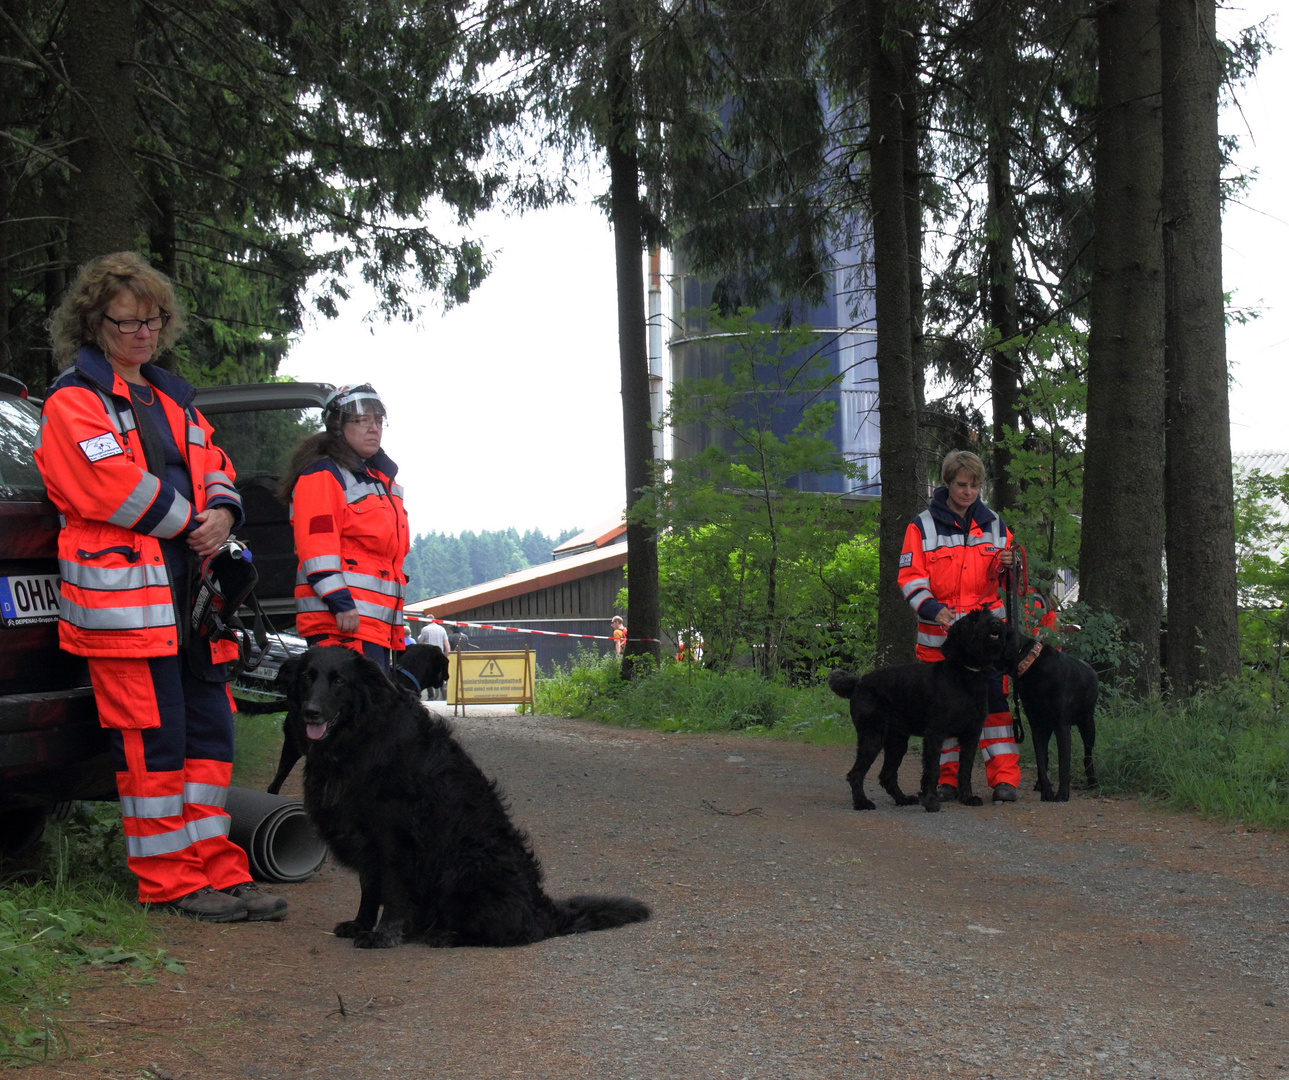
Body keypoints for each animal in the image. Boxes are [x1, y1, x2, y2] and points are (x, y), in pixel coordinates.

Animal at [278, 646, 649, 953]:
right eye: (307, 677)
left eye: (339, 681)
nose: (311, 712)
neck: (358, 735)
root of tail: (540, 908)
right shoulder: (364, 838)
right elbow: (369, 890)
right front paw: (360, 925)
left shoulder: (393, 837)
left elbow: (392, 892)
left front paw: (383, 935)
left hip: (463, 866)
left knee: (511, 933)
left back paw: (446, 934)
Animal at [824, 608, 1005, 814]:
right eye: (974, 620)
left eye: (989, 613)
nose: (996, 623)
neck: (966, 675)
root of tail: (858, 682)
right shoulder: (935, 734)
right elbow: (933, 769)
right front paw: (931, 801)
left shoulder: (971, 735)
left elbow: (965, 769)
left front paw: (967, 797)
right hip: (872, 736)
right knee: (855, 773)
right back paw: (862, 802)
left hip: (897, 741)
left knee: (887, 774)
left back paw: (902, 799)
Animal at [1005, 626, 1098, 804]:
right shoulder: (1037, 726)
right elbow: (1041, 762)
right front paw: (1047, 792)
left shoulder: (1062, 727)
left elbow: (1064, 764)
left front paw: (1062, 794)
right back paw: (1039, 784)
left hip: (1088, 725)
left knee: (1088, 756)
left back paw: (1093, 781)